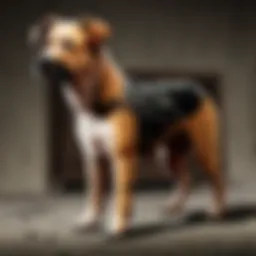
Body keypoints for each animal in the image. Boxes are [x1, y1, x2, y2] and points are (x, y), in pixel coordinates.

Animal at [27, 14, 225, 236]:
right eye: (46, 43)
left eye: (68, 44)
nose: (41, 62)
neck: (94, 102)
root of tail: (197, 87)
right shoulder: (93, 158)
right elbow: (94, 193)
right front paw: (90, 220)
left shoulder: (122, 158)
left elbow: (121, 193)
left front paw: (119, 226)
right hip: (168, 156)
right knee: (186, 179)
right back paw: (175, 208)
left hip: (205, 150)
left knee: (217, 180)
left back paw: (217, 212)